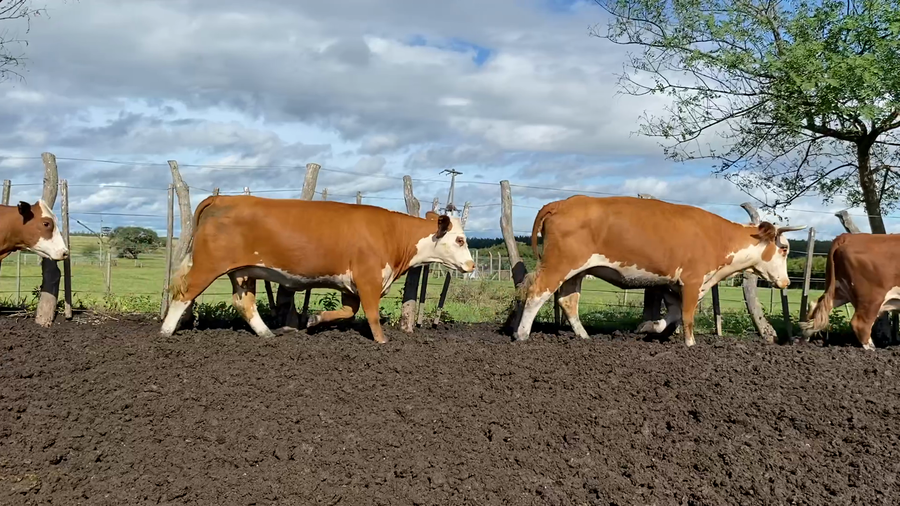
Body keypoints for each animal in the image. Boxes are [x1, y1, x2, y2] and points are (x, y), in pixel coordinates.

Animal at [159, 195, 475, 343]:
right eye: (460, 239)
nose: (471, 265)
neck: (391, 233)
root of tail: (224, 197)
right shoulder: (368, 278)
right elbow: (371, 313)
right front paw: (382, 341)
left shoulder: (350, 284)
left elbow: (348, 311)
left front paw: (313, 319)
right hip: (208, 265)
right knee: (183, 295)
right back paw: (165, 332)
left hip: (243, 272)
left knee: (244, 303)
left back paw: (267, 334)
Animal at [512, 195, 805, 346]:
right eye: (784, 248)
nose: (786, 282)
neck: (719, 237)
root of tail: (562, 202)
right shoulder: (692, 280)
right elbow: (687, 317)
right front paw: (690, 345)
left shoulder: (671, 284)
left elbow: (672, 315)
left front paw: (648, 326)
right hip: (559, 264)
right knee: (537, 293)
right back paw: (522, 335)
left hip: (577, 272)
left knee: (568, 301)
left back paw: (583, 337)